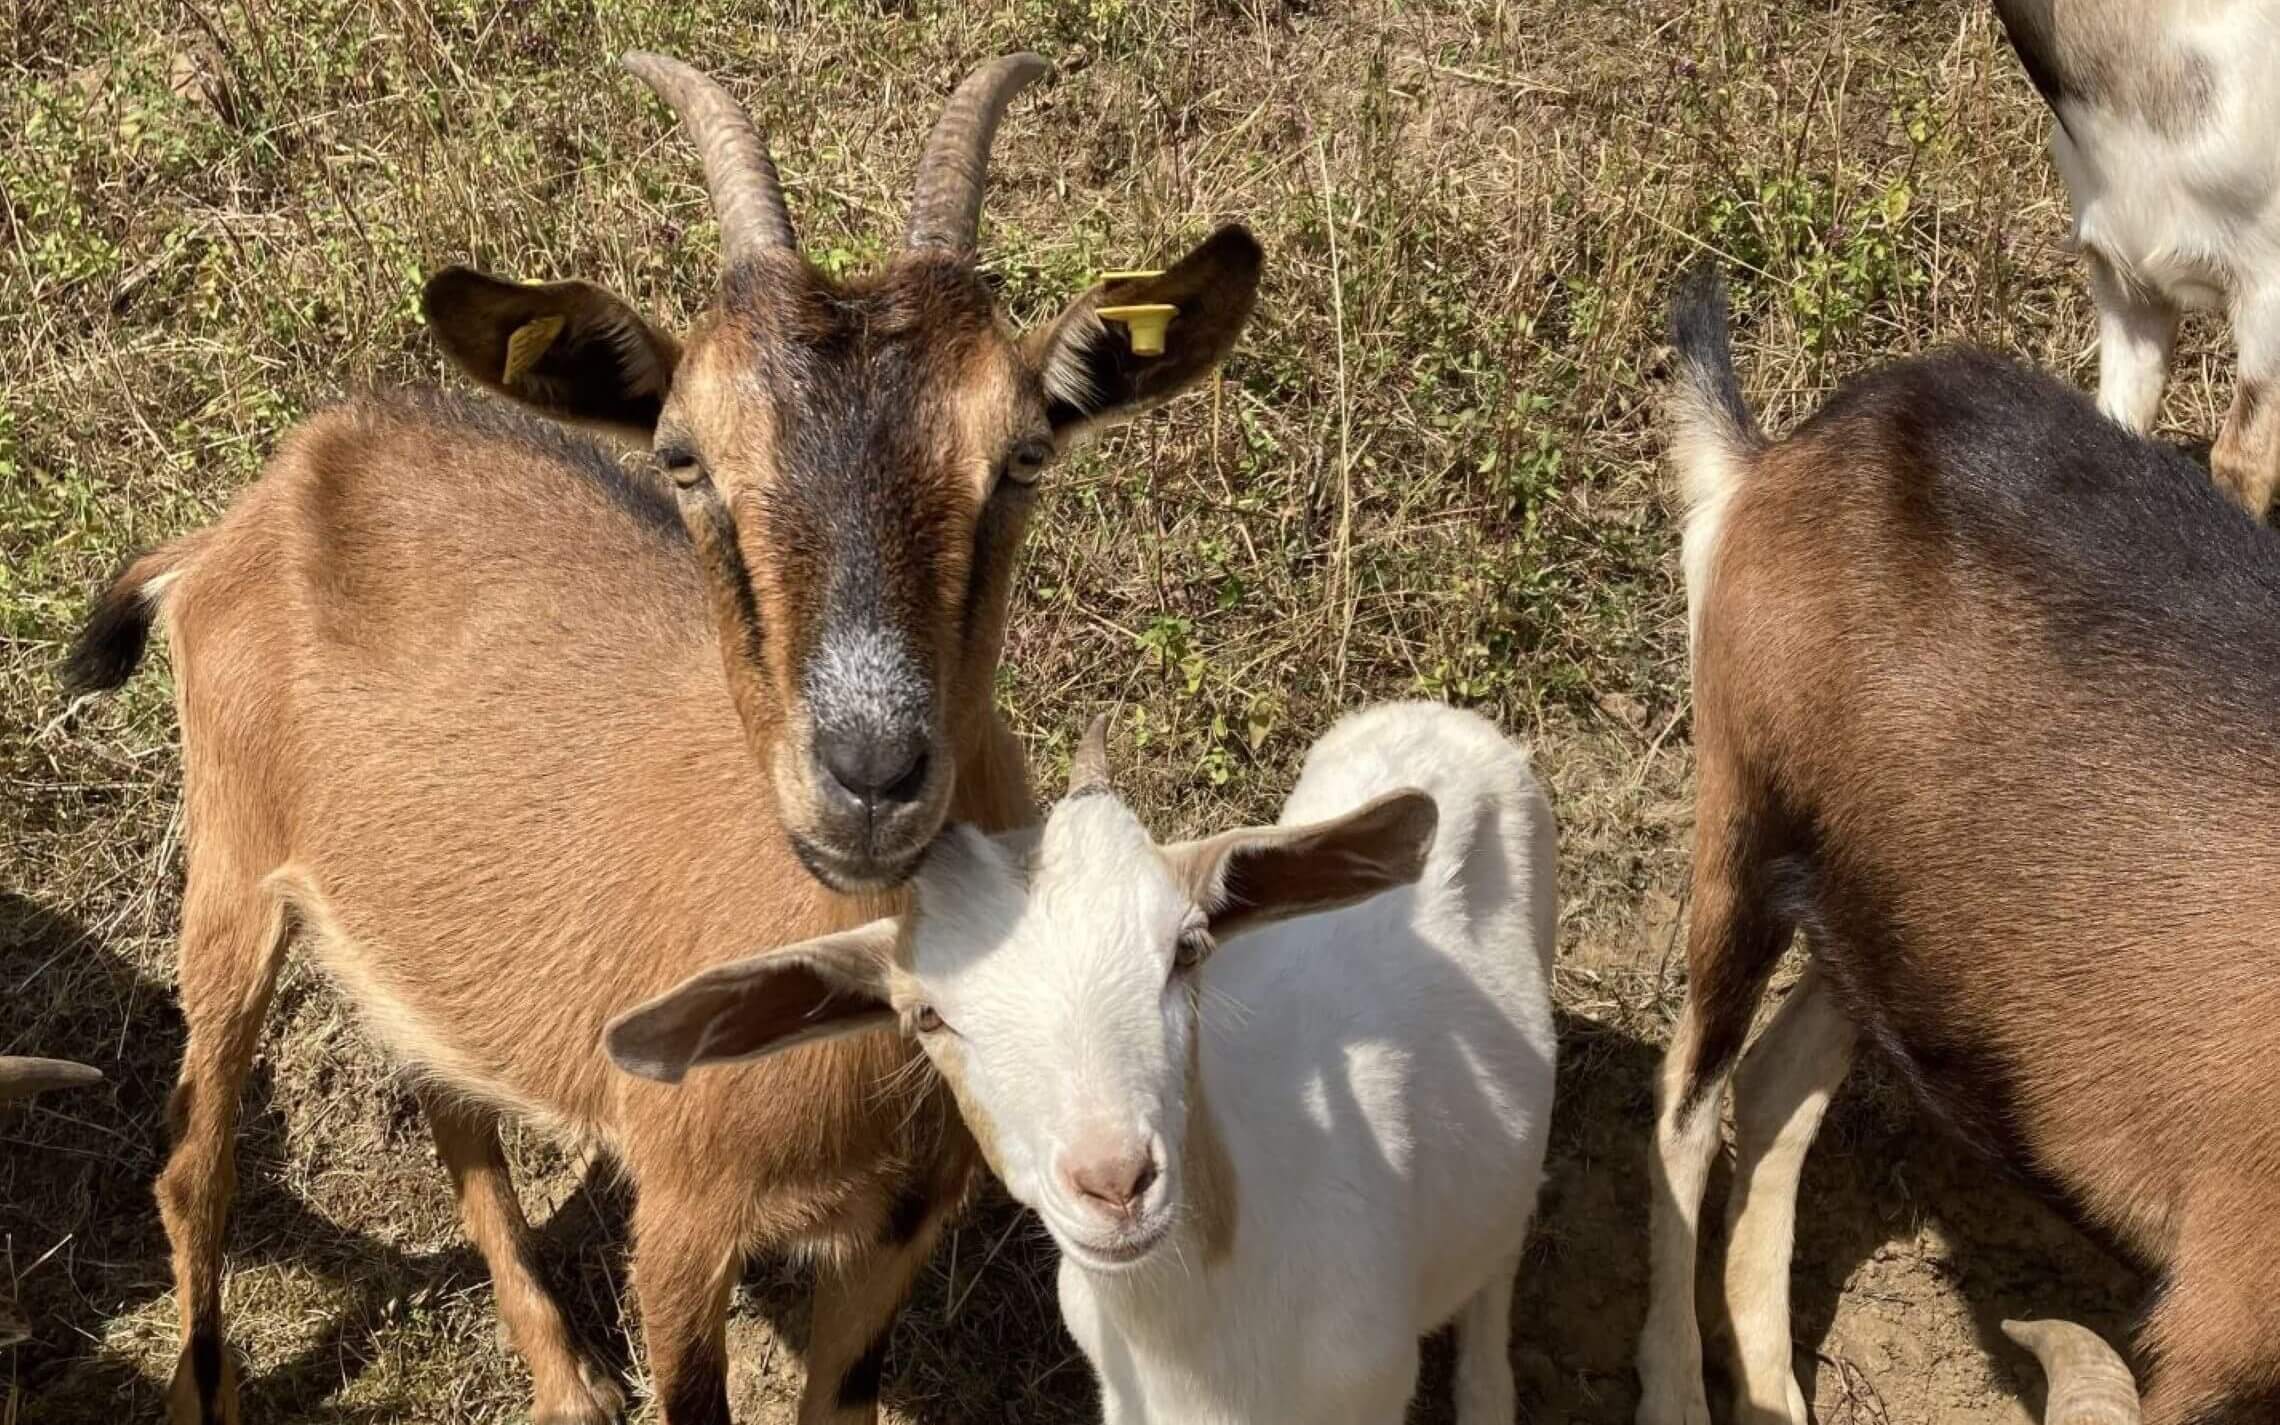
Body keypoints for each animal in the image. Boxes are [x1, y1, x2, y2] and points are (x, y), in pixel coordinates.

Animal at [62, 50, 1267, 1422]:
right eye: (684, 457)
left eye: (1020, 455)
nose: (869, 776)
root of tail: (242, 521)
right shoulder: (684, 1212)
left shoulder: (898, 1224)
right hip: (229, 868)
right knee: (194, 1164)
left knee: (453, 1109)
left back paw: (565, 1379)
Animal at [1632, 264, 2270, 1422]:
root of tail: (1789, 453)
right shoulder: (2226, 1317)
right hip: (1748, 824)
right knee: (1688, 1100)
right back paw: (1677, 1391)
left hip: (1887, 921)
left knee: (1780, 1077)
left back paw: (1772, 1385)